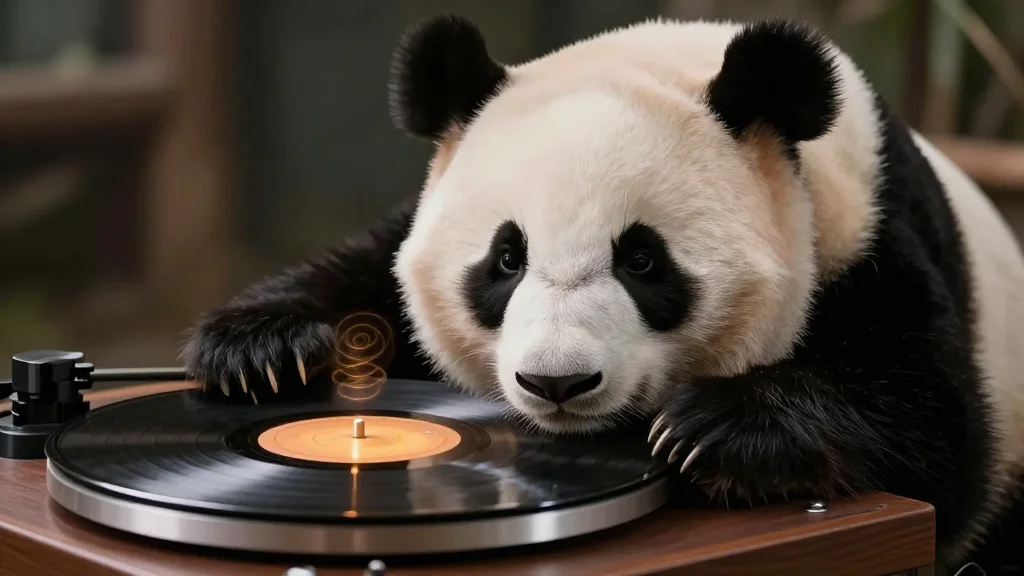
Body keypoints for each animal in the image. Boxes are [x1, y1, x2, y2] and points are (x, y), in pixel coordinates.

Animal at [181, 13, 1024, 575]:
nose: (557, 383)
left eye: (643, 261)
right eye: (506, 259)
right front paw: (261, 351)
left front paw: (714, 428)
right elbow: (364, 274)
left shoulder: (870, 243)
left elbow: (936, 430)